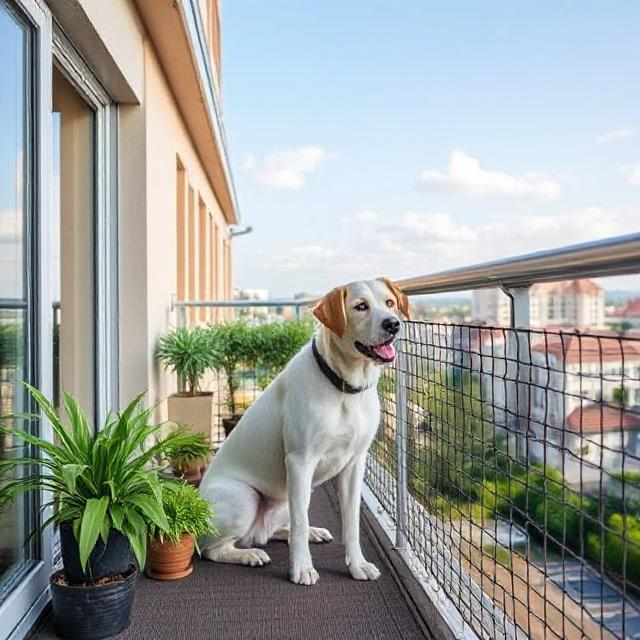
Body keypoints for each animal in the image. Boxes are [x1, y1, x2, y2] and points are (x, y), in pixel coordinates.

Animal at [199, 278, 410, 584]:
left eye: (390, 303)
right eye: (360, 306)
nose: (392, 324)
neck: (344, 387)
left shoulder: (354, 464)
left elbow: (351, 522)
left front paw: (357, 564)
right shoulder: (300, 461)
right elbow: (300, 521)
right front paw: (301, 568)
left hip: (288, 498)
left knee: (269, 532)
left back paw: (309, 533)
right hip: (245, 498)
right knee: (213, 550)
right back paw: (249, 555)